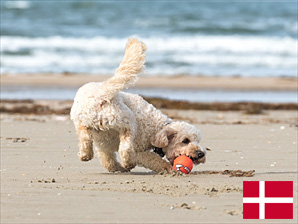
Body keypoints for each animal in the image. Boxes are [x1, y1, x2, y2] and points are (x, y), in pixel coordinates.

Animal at [70, 38, 206, 172]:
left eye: (197, 140)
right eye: (185, 141)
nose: (201, 154)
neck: (157, 129)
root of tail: (101, 93)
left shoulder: (103, 145)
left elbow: (107, 160)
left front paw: (116, 168)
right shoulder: (139, 151)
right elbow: (154, 160)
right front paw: (168, 168)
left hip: (83, 121)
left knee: (86, 137)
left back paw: (86, 154)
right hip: (127, 120)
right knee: (126, 144)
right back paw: (128, 162)